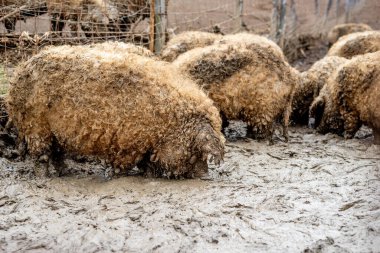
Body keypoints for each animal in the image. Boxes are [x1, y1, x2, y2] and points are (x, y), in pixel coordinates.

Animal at [7, 43, 224, 178]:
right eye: (195, 151)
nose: (205, 176)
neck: (167, 121)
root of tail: (17, 76)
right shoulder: (129, 141)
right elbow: (126, 164)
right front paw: (118, 175)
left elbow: (148, 163)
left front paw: (147, 174)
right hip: (35, 127)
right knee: (41, 156)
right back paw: (44, 179)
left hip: (55, 133)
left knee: (57, 154)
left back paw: (65, 173)